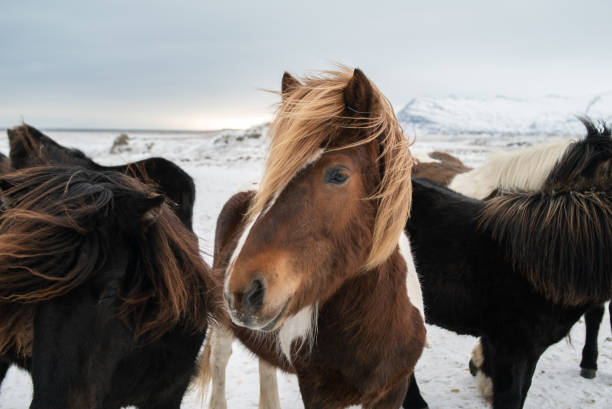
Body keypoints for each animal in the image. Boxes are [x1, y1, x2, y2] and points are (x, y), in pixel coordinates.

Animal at [196, 68, 426, 406]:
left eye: (338, 174)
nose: (242, 291)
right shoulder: (318, 393)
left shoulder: (393, 390)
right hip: (224, 327)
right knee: (220, 365)